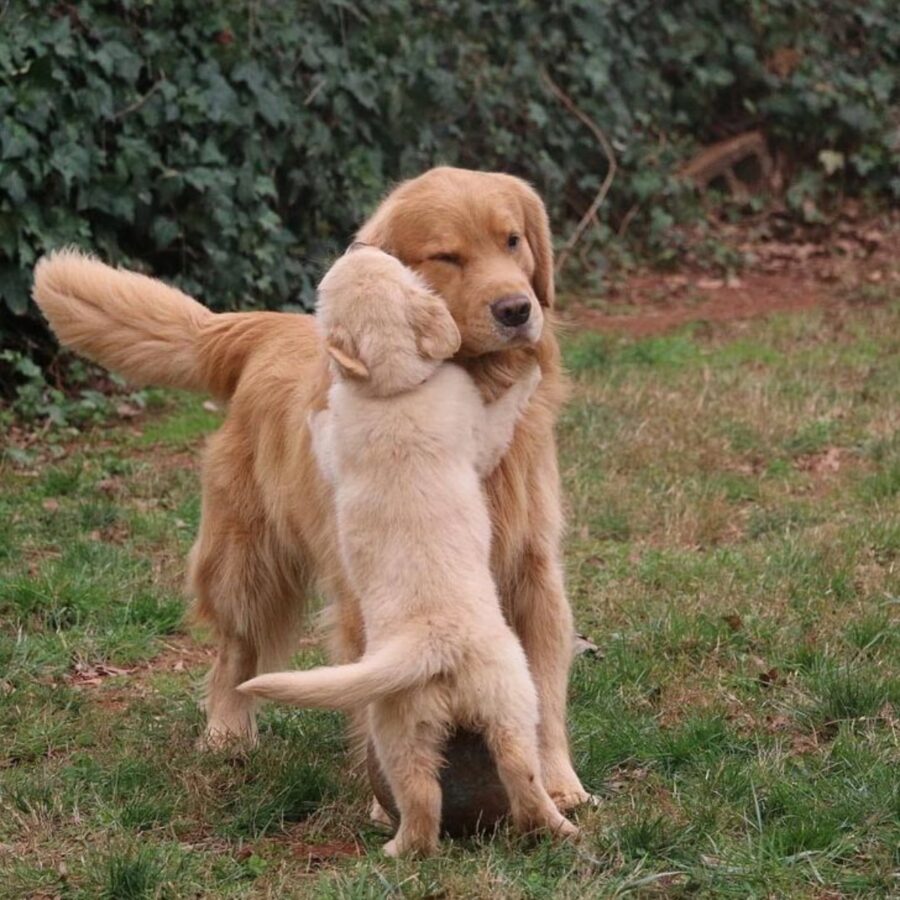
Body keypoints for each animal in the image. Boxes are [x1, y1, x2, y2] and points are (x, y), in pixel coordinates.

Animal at [239, 246, 576, 856]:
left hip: (448, 717)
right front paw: (530, 377)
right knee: (474, 789)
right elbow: (497, 421)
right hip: (468, 709)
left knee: (459, 790)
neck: (391, 390)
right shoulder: (472, 422)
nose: (355, 247)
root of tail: (435, 646)